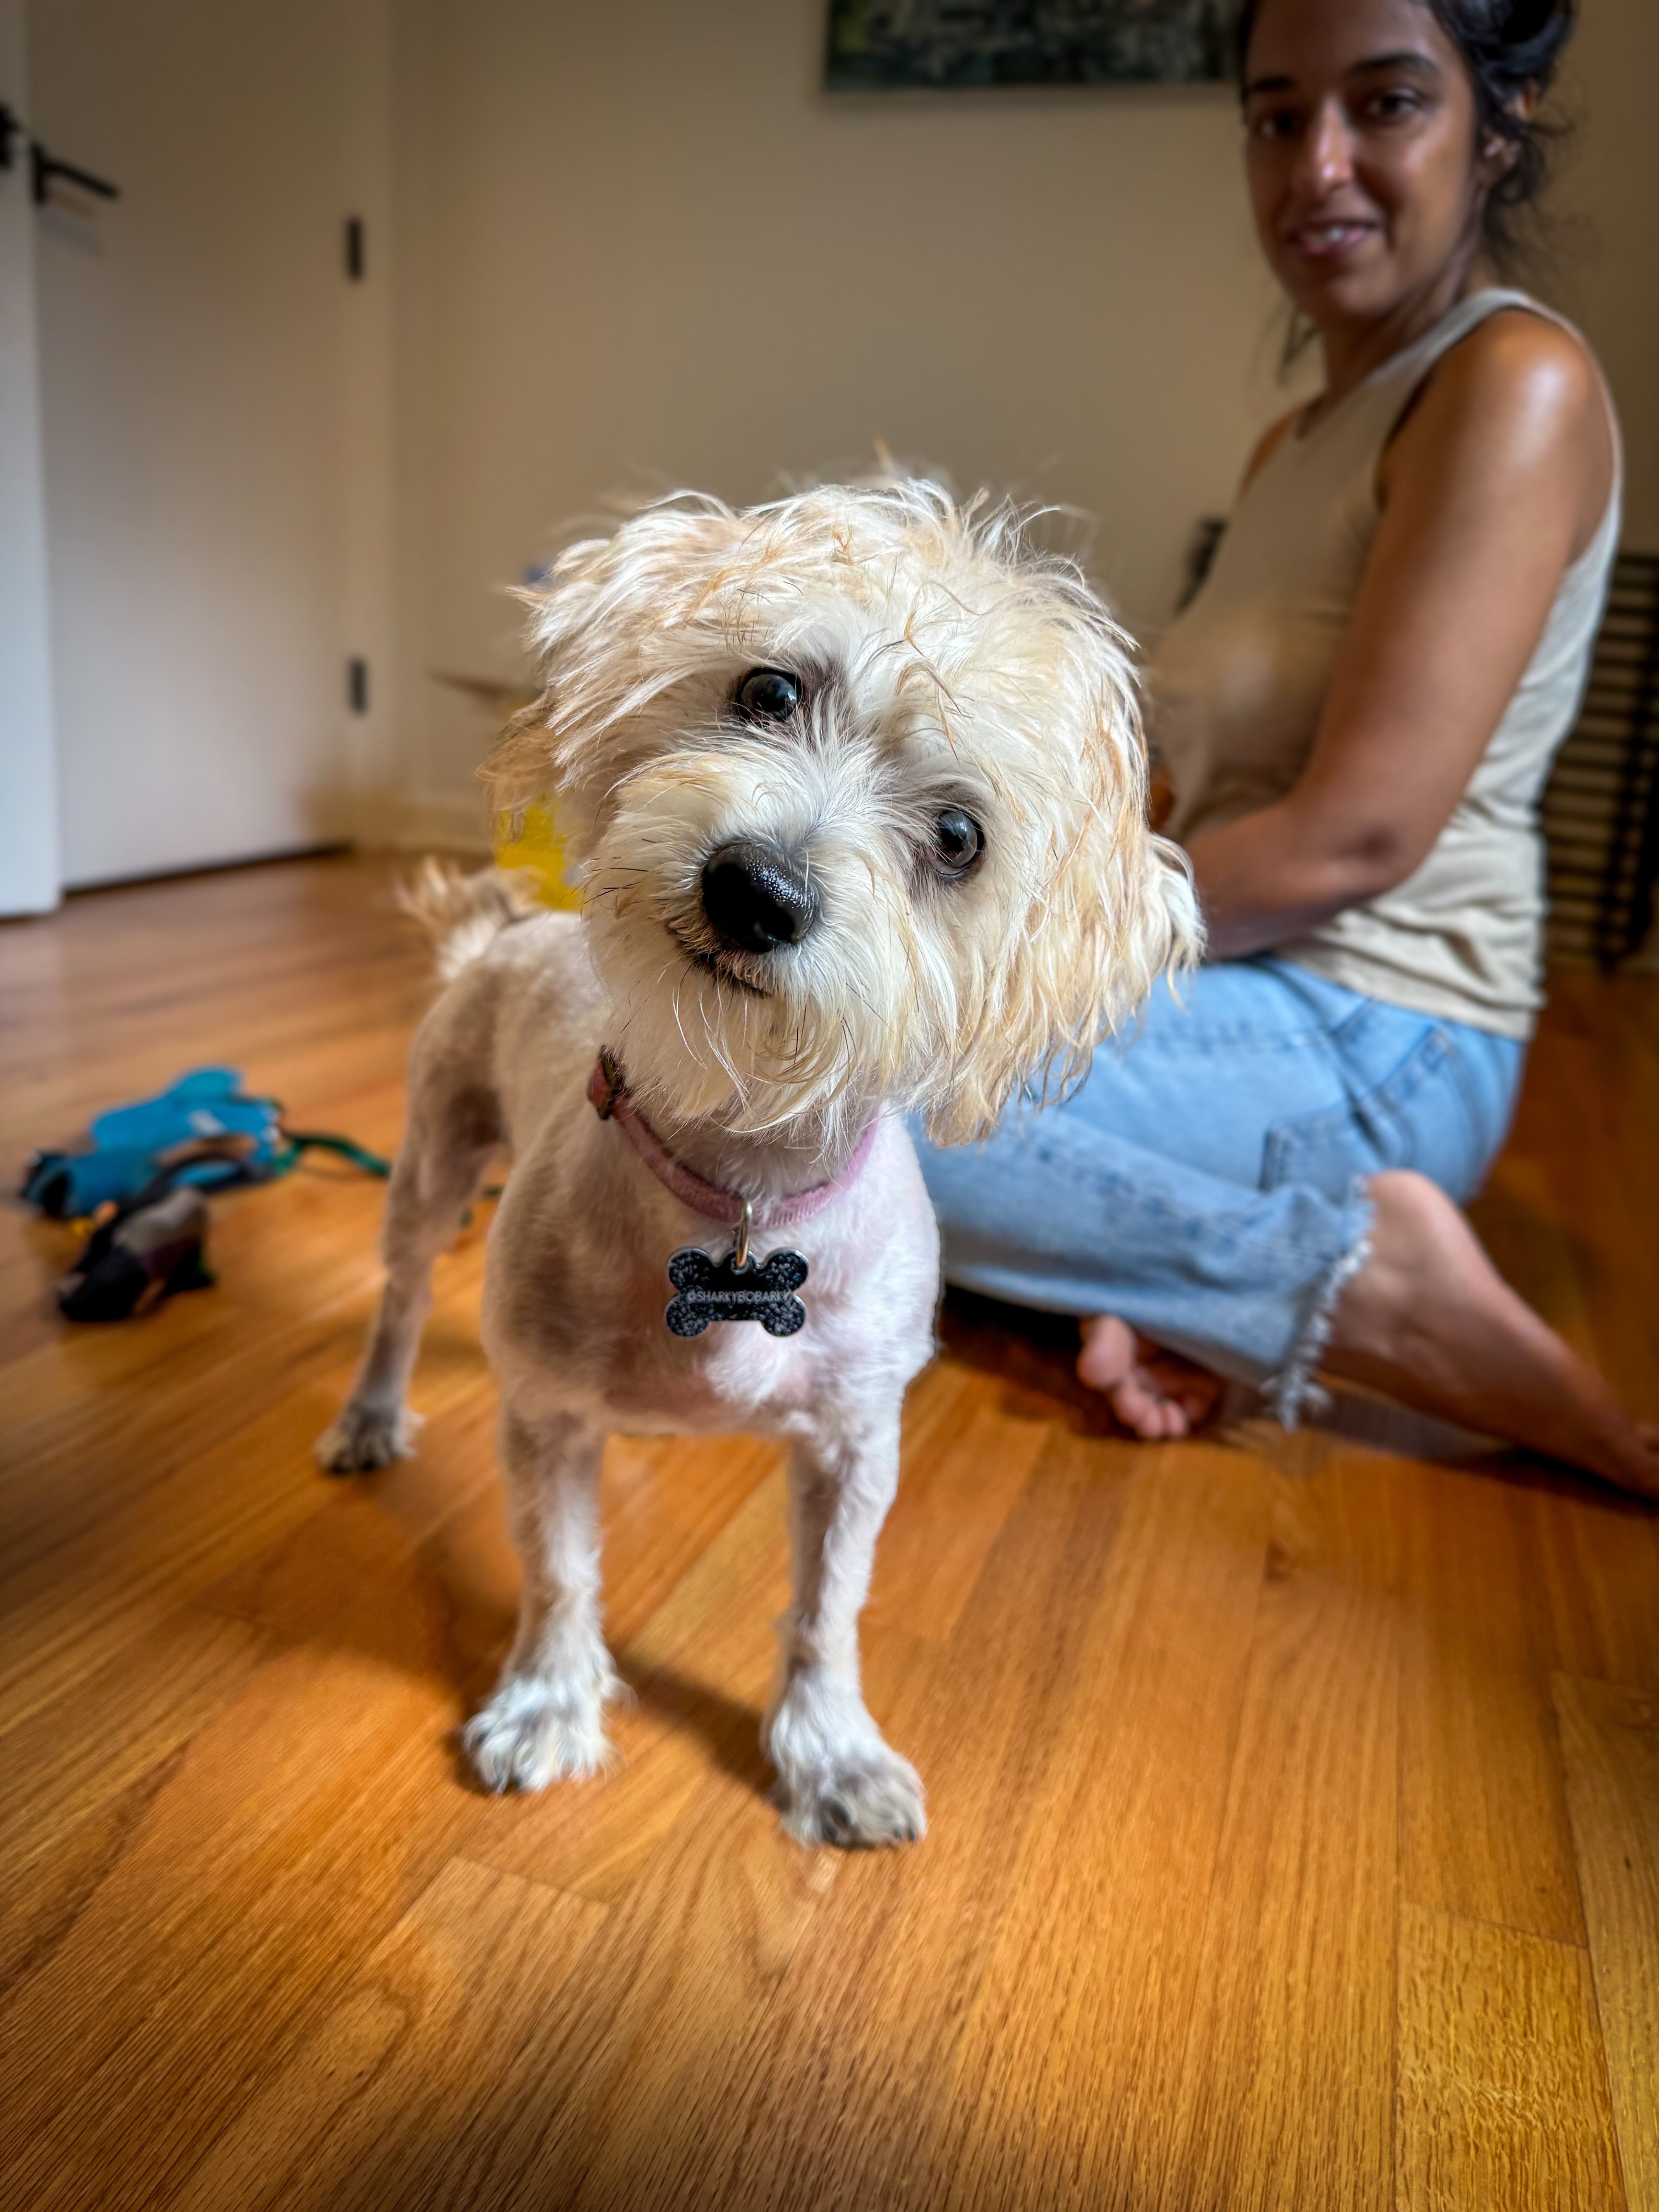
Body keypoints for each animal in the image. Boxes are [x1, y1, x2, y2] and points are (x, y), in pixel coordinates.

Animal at [319, 482, 1198, 1847]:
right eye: (770, 691)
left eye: (960, 837)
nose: (758, 886)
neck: (738, 1176)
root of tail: (509, 933)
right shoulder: (547, 1416)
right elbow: (559, 1572)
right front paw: (550, 1702)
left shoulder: (852, 1449)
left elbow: (828, 1613)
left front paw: (830, 1752)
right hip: (429, 1174)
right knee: (402, 1304)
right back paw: (370, 1411)